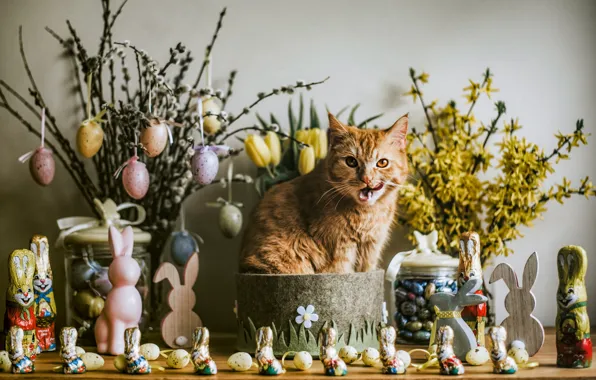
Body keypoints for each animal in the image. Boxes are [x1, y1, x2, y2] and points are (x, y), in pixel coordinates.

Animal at [240, 112, 408, 274]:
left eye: (382, 163)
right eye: (351, 162)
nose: (366, 179)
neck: (367, 214)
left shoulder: (371, 249)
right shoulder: (340, 254)